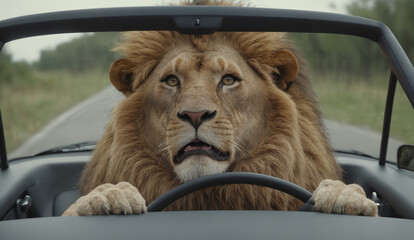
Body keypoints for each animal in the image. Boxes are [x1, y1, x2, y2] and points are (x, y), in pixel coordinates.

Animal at [62, 0, 378, 218]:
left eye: (228, 80)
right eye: (172, 81)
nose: (195, 115)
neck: (208, 195)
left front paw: (345, 197)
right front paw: (109, 195)